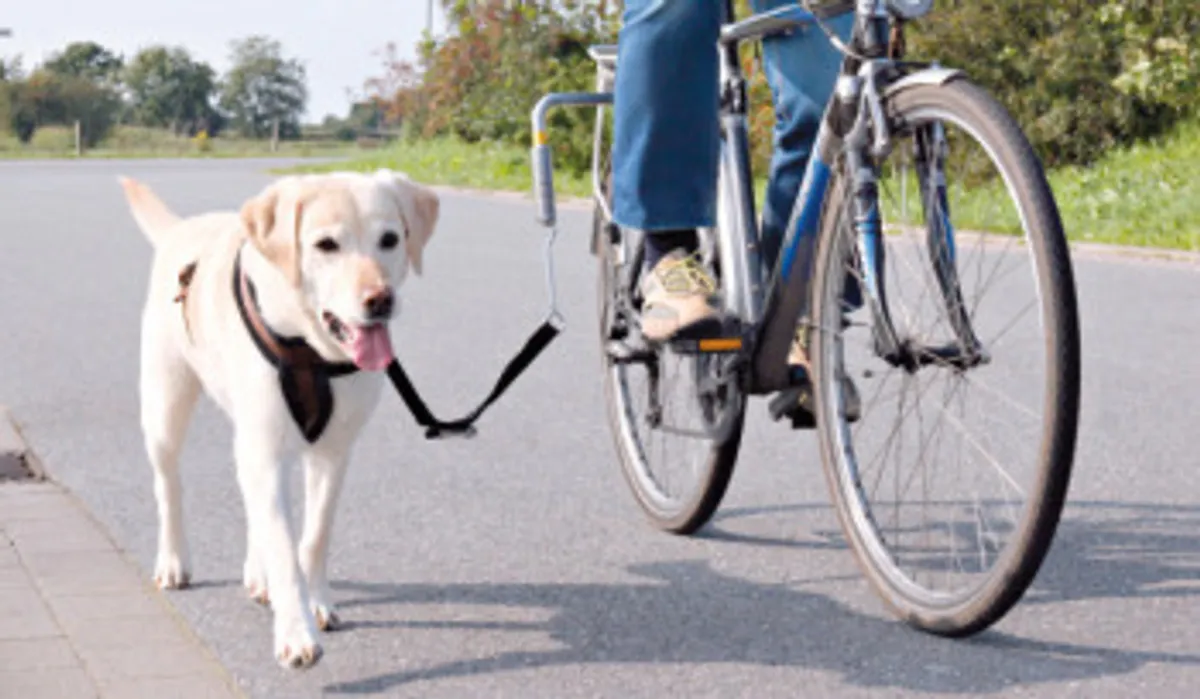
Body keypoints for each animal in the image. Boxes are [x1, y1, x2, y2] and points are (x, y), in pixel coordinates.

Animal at [118, 169, 441, 667]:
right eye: (326, 244)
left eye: (390, 239)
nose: (380, 300)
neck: (312, 351)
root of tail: (182, 228)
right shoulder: (266, 448)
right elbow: (285, 549)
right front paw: (295, 632)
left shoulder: (332, 453)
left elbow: (313, 536)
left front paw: (317, 601)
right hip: (165, 408)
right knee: (169, 486)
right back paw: (173, 561)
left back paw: (257, 572)